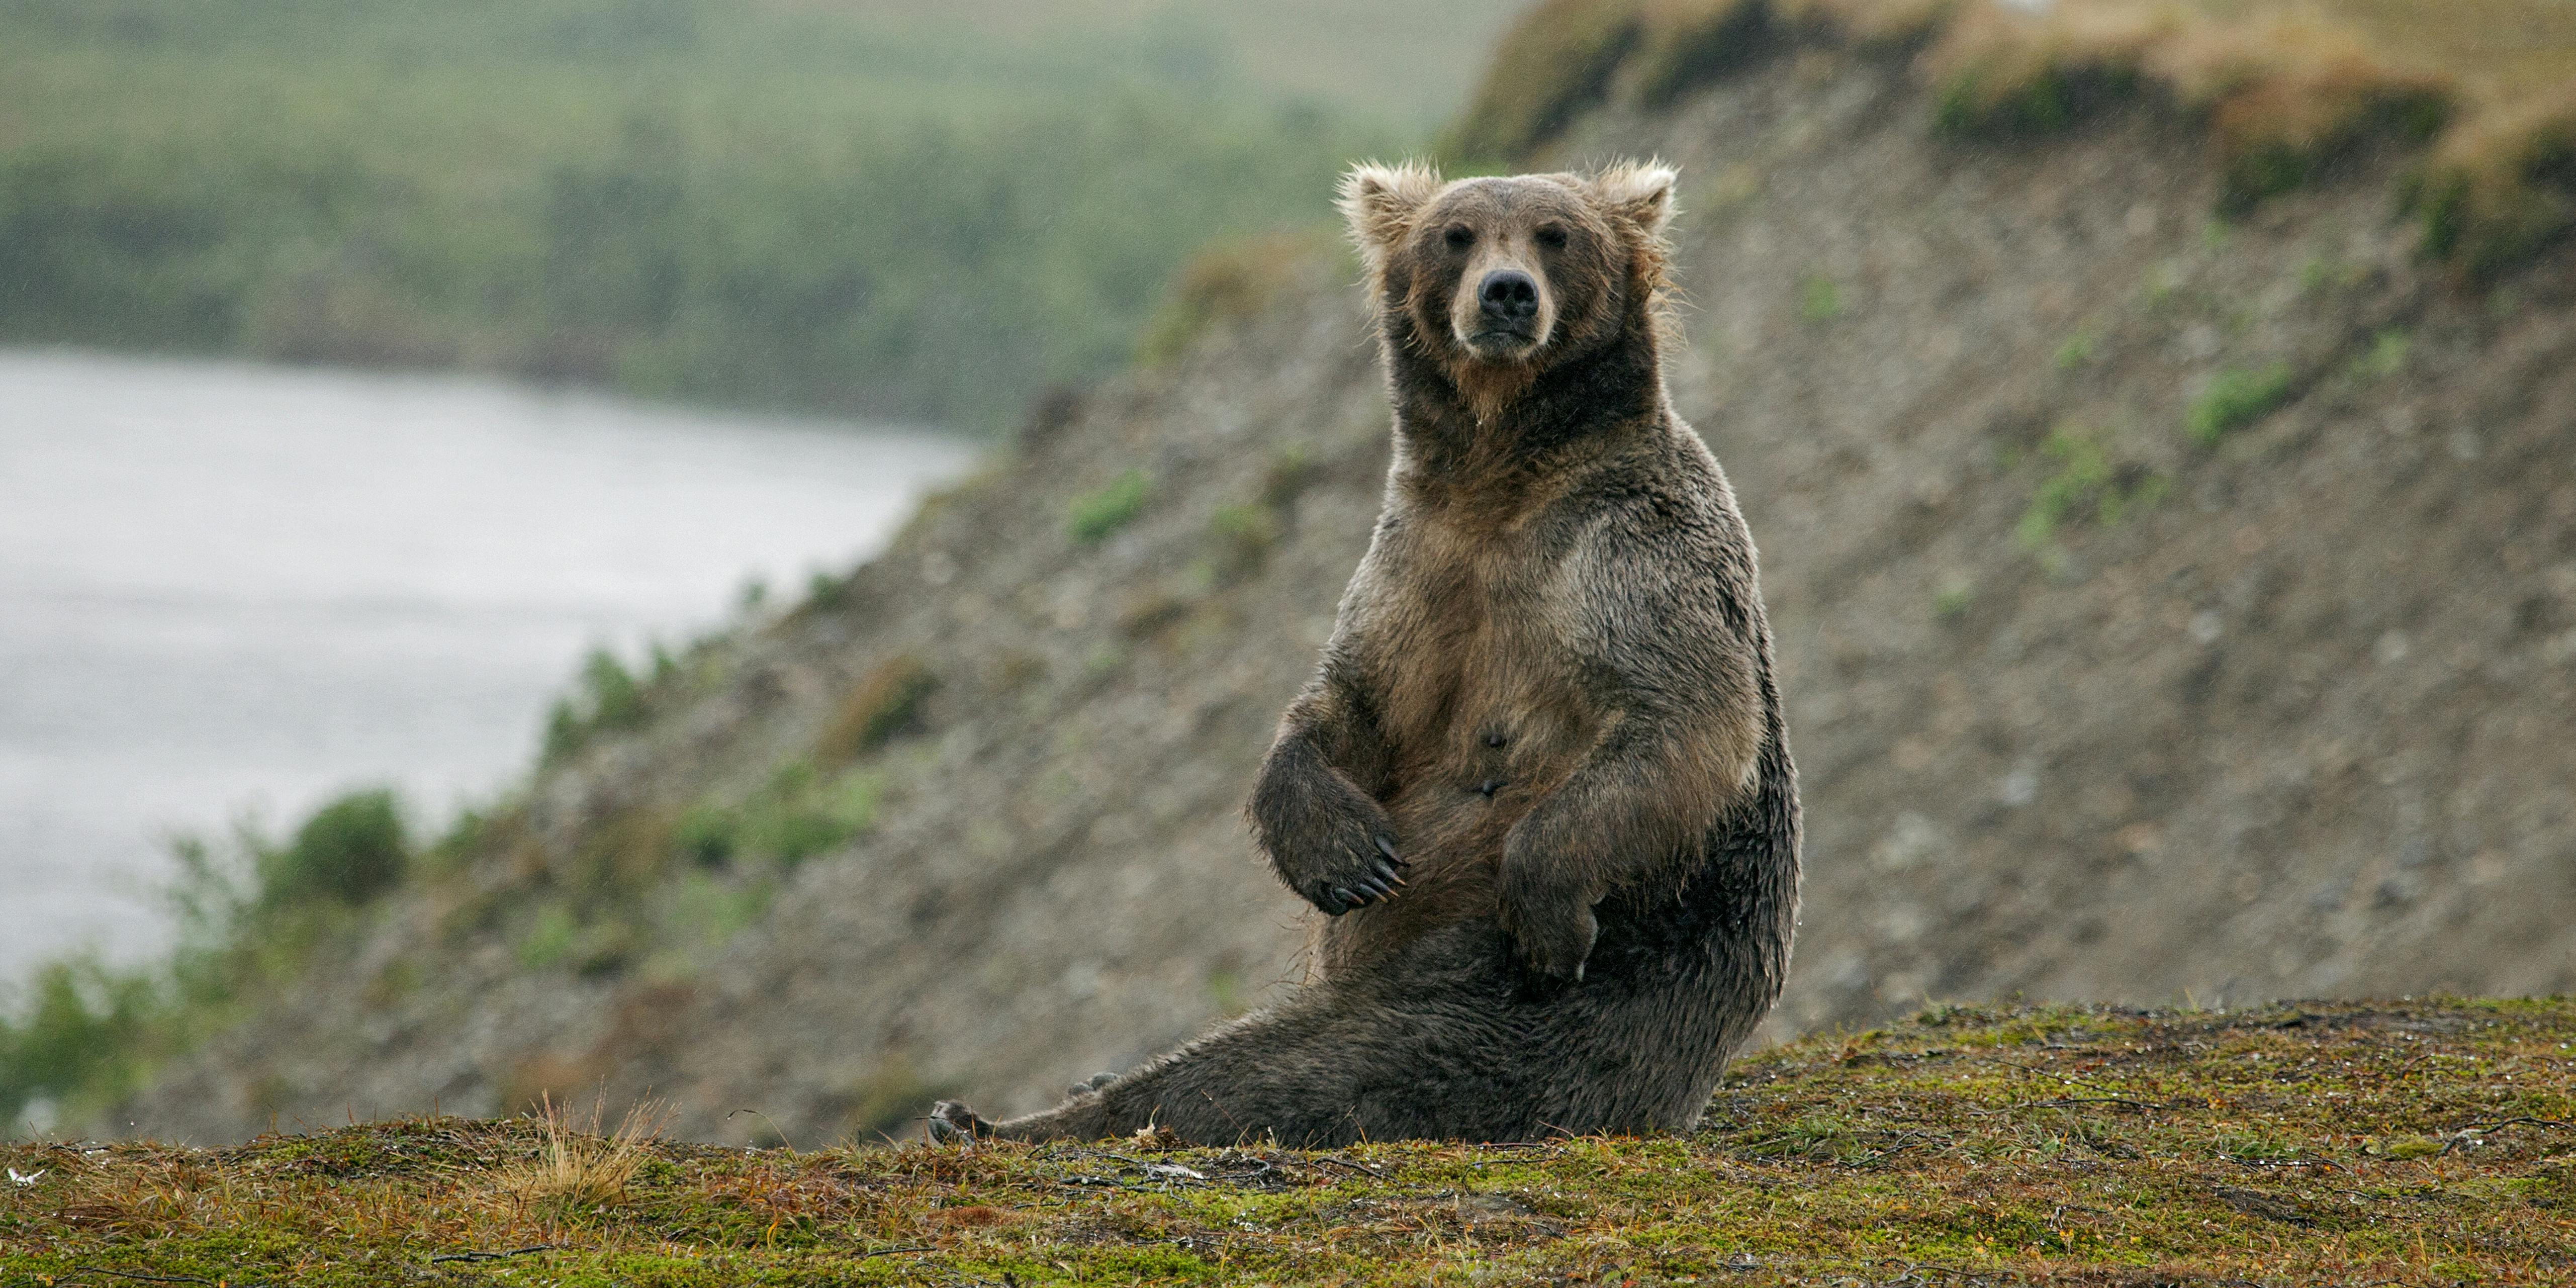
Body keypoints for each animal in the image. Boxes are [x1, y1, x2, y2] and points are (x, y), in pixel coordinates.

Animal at [938, 163, 1803, 1149]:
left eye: (1555, 234)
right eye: (1455, 235)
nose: (1506, 294)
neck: (1503, 484)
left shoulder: (1628, 558)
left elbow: (1685, 722)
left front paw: (1546, 911)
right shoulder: (1415, 566)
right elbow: (1347, 703)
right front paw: (1345, 852)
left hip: (1540, 1003)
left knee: (1299, 1064)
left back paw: (1001, 1116)